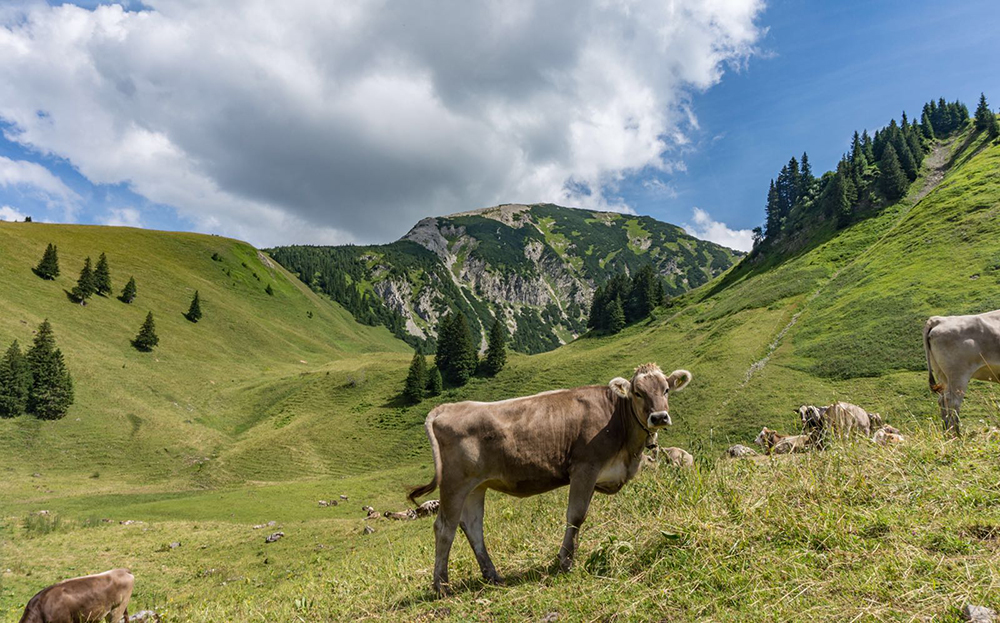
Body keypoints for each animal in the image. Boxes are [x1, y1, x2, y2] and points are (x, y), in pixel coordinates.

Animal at [404, 364, 688, 596]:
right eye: (638, 392)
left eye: (666, 390)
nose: (659, 417)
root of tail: (447, 407)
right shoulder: (585, 467)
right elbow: (576, 516)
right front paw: (565, 562)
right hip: (454, 483)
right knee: (444, 527)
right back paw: (442, 586)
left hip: (476, 486)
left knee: (473, 527)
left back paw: (493, 576)